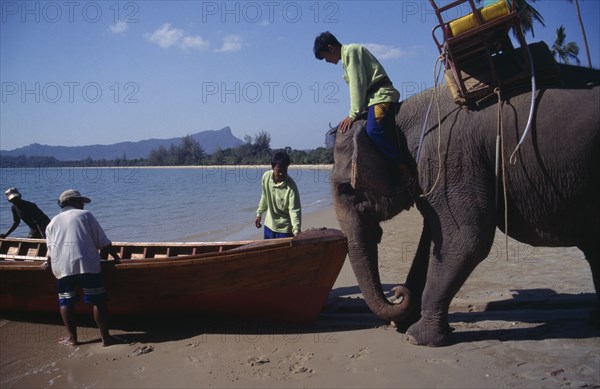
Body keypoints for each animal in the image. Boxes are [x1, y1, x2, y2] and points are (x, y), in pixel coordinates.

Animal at [332, 63, 600, 346]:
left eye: (345, 189)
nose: (396, 291)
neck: (396, 117)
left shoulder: (451, 158)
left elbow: (465, 241)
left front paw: (416, 337)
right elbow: (431, 241)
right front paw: (405, 322)